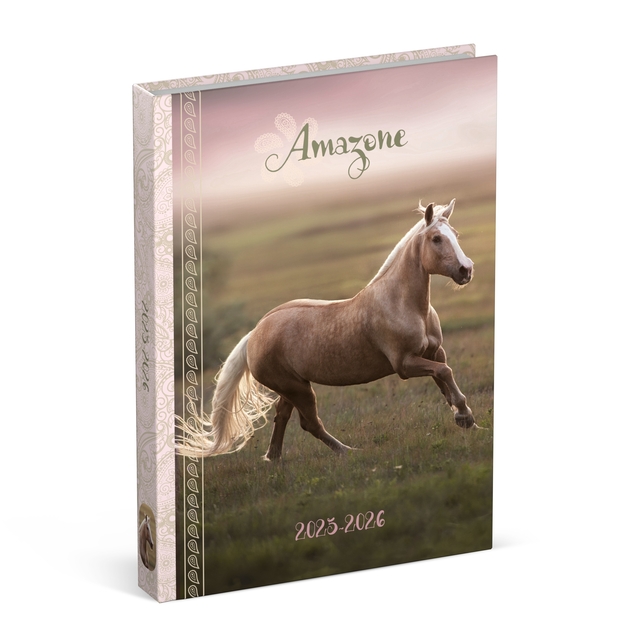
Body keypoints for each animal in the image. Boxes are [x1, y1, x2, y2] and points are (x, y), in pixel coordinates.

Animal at [178, 198, 477, 461]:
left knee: (282, 416)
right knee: (309, 423)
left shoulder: (434, 352)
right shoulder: (404, 364)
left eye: (455, 234)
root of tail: (254, 334)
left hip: (291, 388)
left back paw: (274, 459)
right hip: (298, 389)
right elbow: (444, 373)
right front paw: (466, 417)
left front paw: (465, 418)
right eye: (436, 239)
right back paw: (347, 452)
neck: (404, 305)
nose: (466, 270)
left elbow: (444, 380)